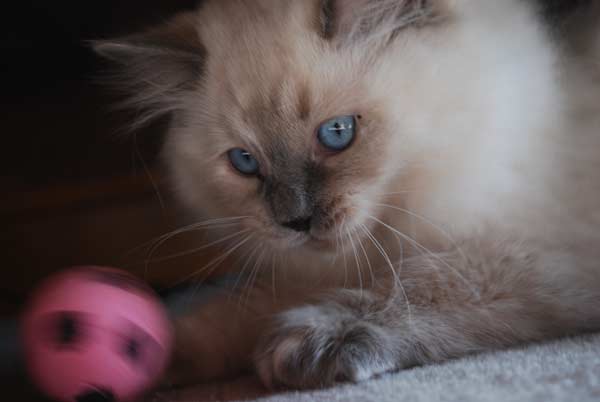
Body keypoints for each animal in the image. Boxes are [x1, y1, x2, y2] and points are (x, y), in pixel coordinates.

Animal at [92, 0, 600, 390]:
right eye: (245, 162)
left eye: (337, 133)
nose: (295, 220)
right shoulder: (315, 271)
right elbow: (225, 316)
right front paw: (144, 352)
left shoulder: (522, 251)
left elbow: (412, 288)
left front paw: (312, 342)